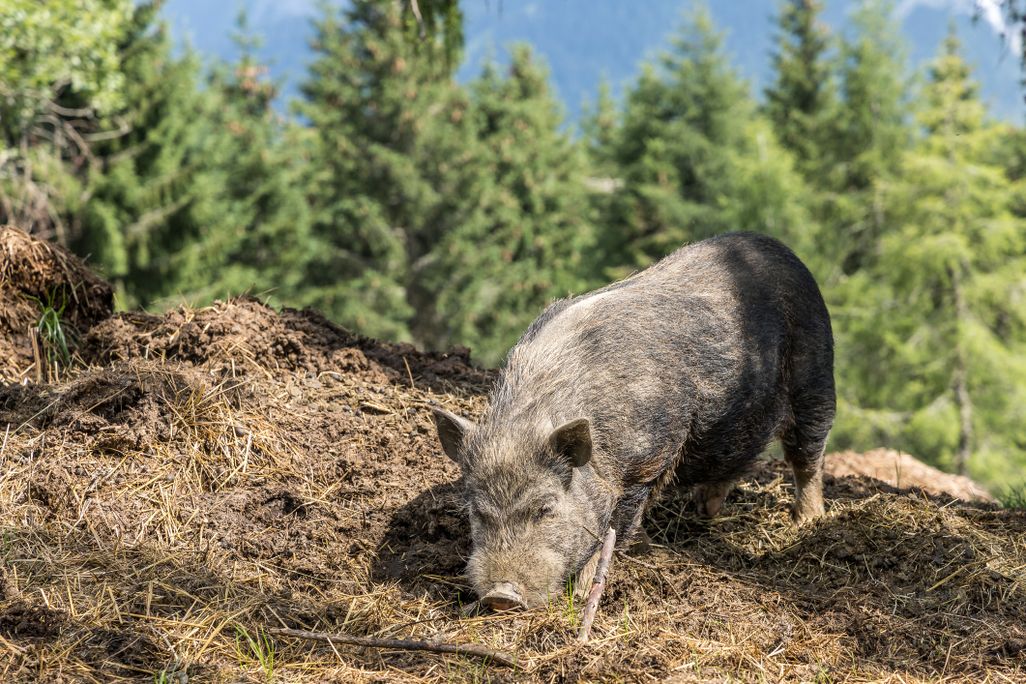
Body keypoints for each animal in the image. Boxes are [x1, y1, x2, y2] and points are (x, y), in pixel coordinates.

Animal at [432, 232, 835, 611]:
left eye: (546, 508)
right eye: (477, 512)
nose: (501, 596)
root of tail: (779, 249)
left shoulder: (647, 459)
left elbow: (615, 526)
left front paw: (584, 593)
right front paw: (644, 549)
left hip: (815, 374)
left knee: (808, 453)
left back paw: (808, 520)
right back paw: (704, 511)